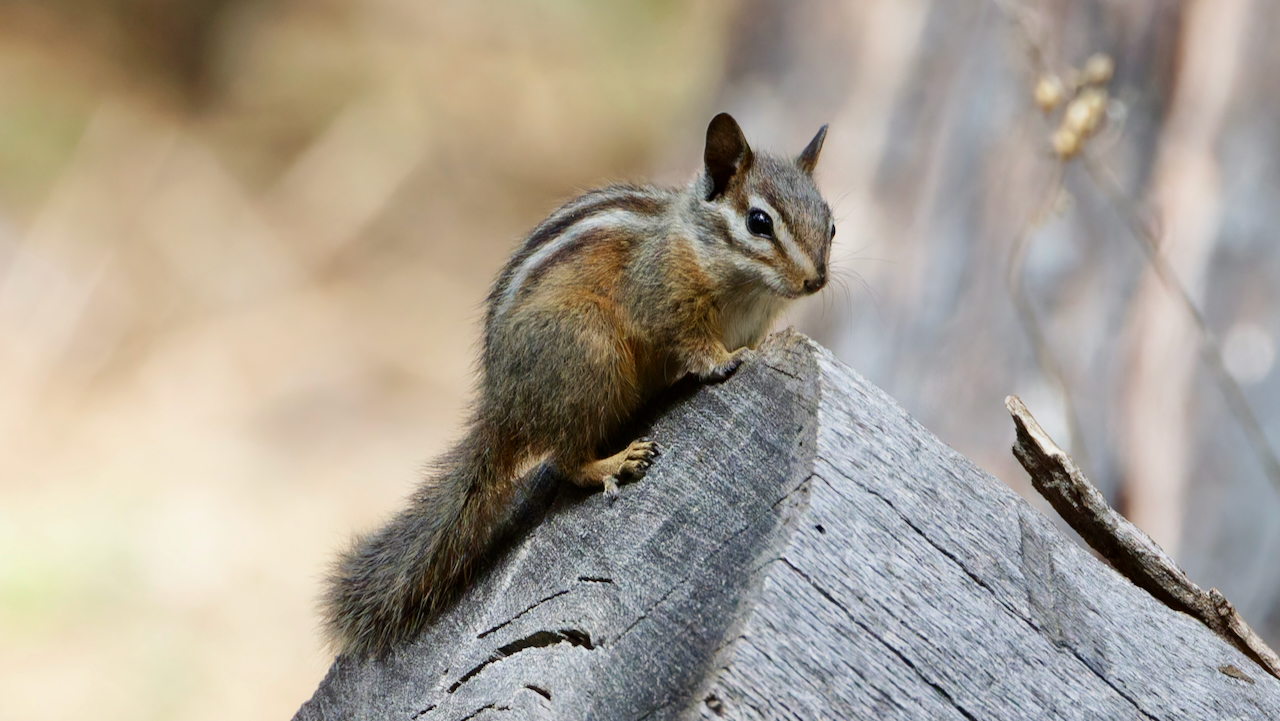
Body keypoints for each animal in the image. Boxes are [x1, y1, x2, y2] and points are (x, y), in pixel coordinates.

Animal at [322, 113, 834, 658]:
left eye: (831, 222)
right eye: (759, 223)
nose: (816, 280)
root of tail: (501, 408)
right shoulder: (661, 297)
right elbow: (687, 339)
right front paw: (723, 360)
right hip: (590, 351)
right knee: (565, 461)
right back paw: (614, 462)